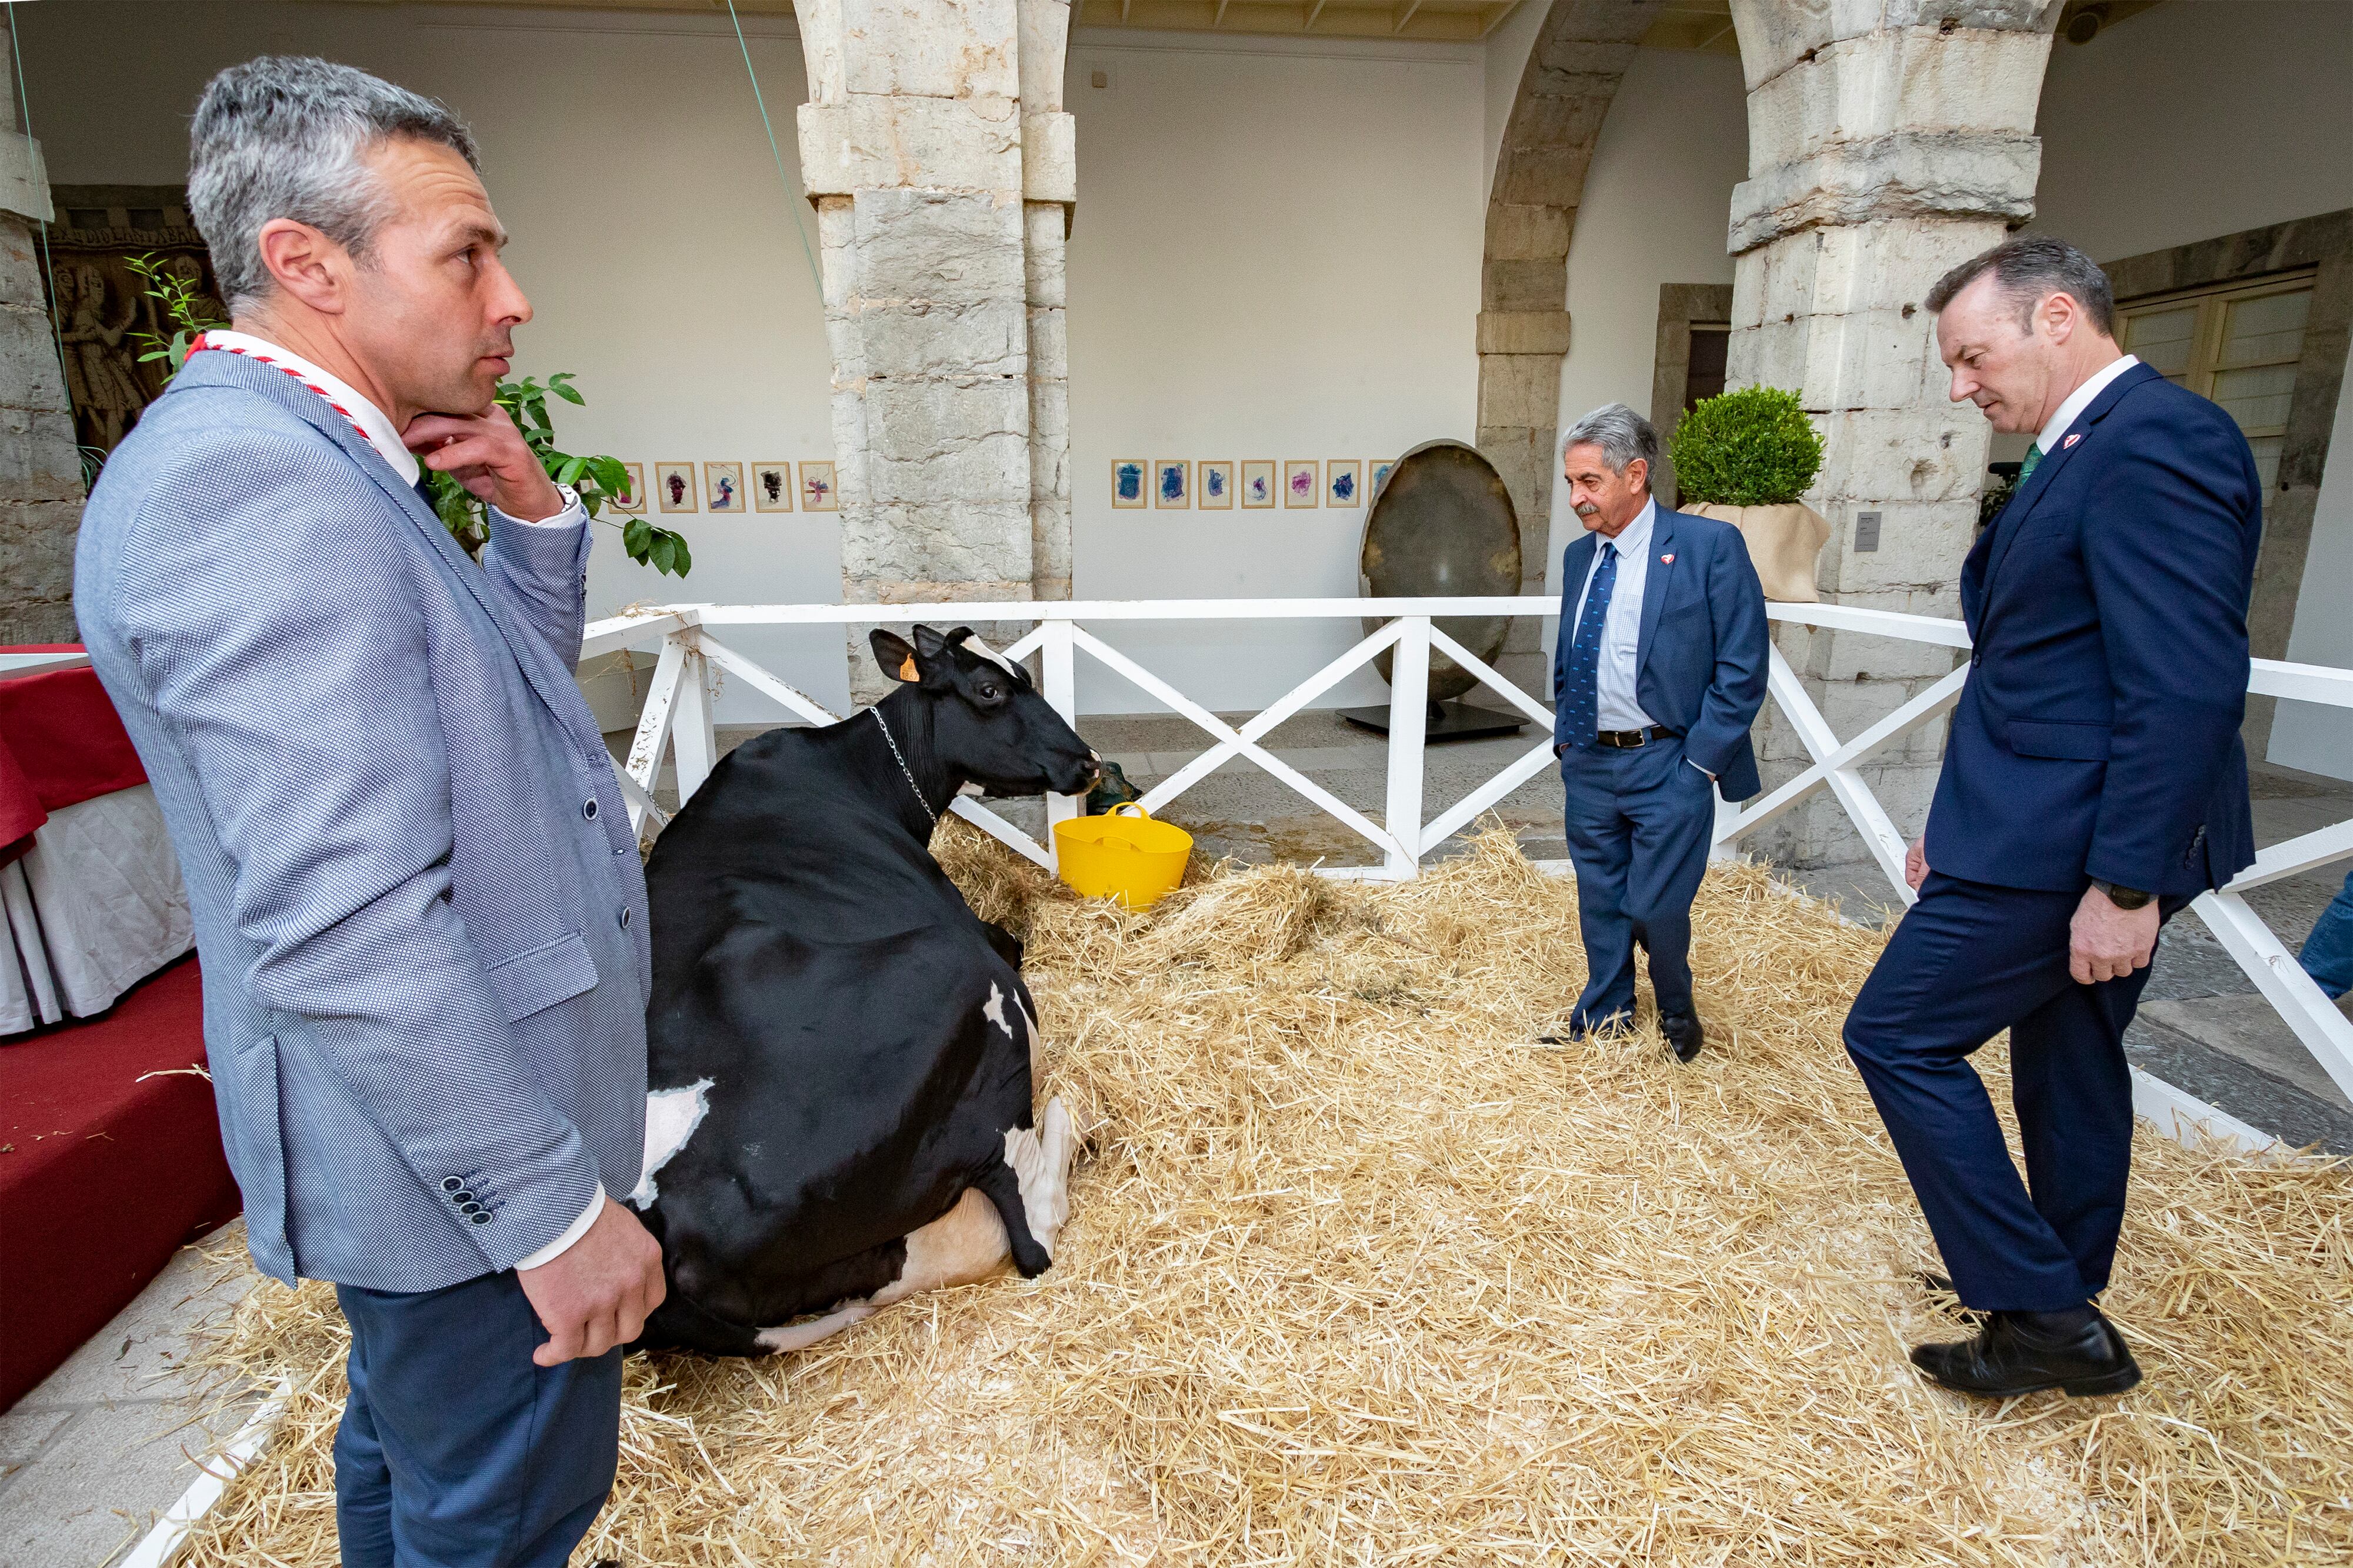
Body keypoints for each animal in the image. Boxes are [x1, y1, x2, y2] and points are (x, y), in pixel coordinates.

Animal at [631, 616, 1096, 1346]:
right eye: (988, 690)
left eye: (1025, 677)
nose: (1089, 761)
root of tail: (662, 1220)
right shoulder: (981, 935)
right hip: (966, 989)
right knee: (1032, 1231)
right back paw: (1069, 1112)